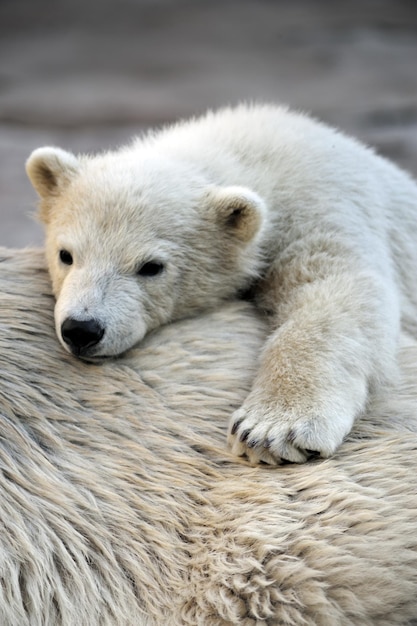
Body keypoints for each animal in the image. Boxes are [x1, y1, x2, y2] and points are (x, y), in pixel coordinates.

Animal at [25, 103, 416, 464]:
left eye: (151, 267)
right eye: (66, 255)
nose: (82, 329)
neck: (254, 149)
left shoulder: (323, 205)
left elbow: (341, 292)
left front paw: (270, 430)